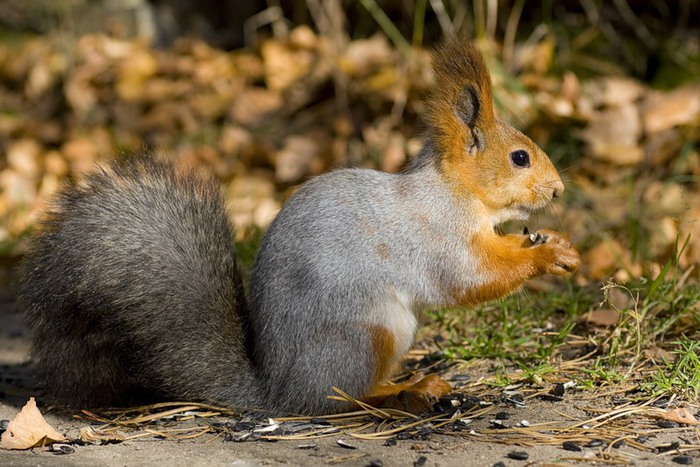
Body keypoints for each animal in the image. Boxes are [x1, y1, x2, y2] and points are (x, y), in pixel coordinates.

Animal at [19, 38, 584, 414]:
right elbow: (472, 279)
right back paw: (407, 390)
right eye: (519, 158)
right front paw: (546, 255)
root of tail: (279, 393)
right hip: (370, 332)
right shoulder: (436, 234)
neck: (455, 192)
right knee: (341, 398)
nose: (559, 191)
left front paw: (557, 242)